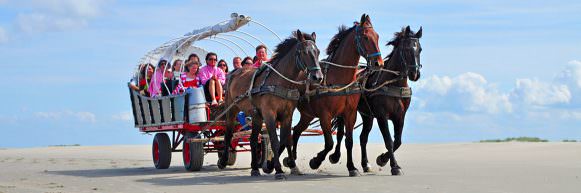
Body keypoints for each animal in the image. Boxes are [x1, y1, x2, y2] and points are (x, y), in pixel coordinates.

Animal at [216, 29, 322, 180]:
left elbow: (287, 140)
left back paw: (255, 168)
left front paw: (293, 166)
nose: (317, 77)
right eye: (304, 52)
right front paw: (278, 169)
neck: (280, 82)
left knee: (253, 140)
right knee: (228, 135)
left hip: (256, 116)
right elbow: (275, 141)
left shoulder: (287, 115)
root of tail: (235, 72)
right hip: (231, 110)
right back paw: (224, 160)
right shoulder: (269, 114)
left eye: (317, 51)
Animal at [286, 13, 386, 176]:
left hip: (307, 114)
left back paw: (291, 159)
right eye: (365, 37)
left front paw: (351, 167)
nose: (379, 63)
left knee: (296, 130)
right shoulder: (325, 115)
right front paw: (316, 161)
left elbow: (348, 141)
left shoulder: (350, 113)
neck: (340, 78)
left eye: (377, 36)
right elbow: (329, 143)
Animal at [328, 26, 424, 176]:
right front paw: (393, 165)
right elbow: (389, 141)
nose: (415, 74)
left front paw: (383, 159)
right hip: (348, 112)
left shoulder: (400, 116)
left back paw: (365, 164)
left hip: (367, 116)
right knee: (340, 134)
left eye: (419, 49)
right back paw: (335, 156)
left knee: (363, 138)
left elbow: (398, 141)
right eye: (407, 49)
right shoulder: (381, 115)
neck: (393, 83)